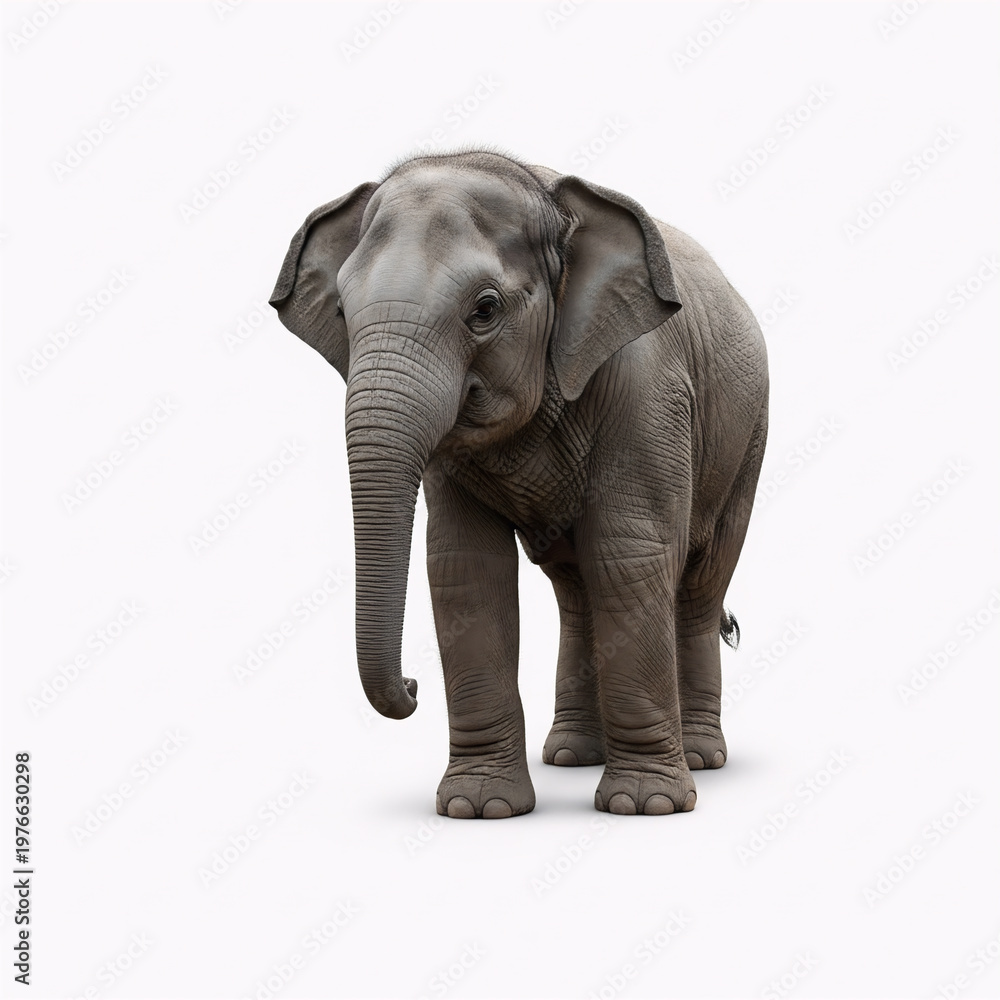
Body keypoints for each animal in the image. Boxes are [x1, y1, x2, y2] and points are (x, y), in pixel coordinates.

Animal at [269, 149, 768, 818]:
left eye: (485, 309)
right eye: (344, 313)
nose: (412, 685)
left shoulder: (647, 386)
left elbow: (629, 554)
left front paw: (644, 806)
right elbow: (465, 568)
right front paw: (477, 809)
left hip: (747, 441)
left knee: (697, 585)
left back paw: (700, 760)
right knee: (577, 591)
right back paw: (573, 756)